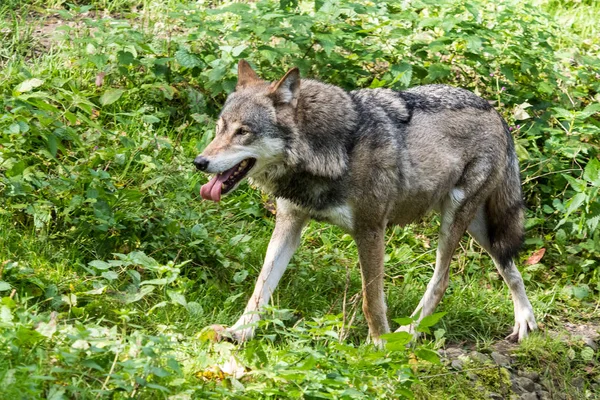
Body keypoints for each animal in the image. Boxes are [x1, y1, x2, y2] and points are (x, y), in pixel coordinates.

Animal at [195, 58, 536, 344]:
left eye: (243, 132)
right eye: (220, 128)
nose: (200, 162)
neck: (335, 150)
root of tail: (495, 112)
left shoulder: (370, 230)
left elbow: (372, 300)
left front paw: (380, 345)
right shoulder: (289, 223)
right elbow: (261, 286)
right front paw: (239, 332)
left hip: (455, 220)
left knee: (442, 281)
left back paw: (406, 334)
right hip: (480, 229)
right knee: (508, 265)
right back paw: (525, 321)